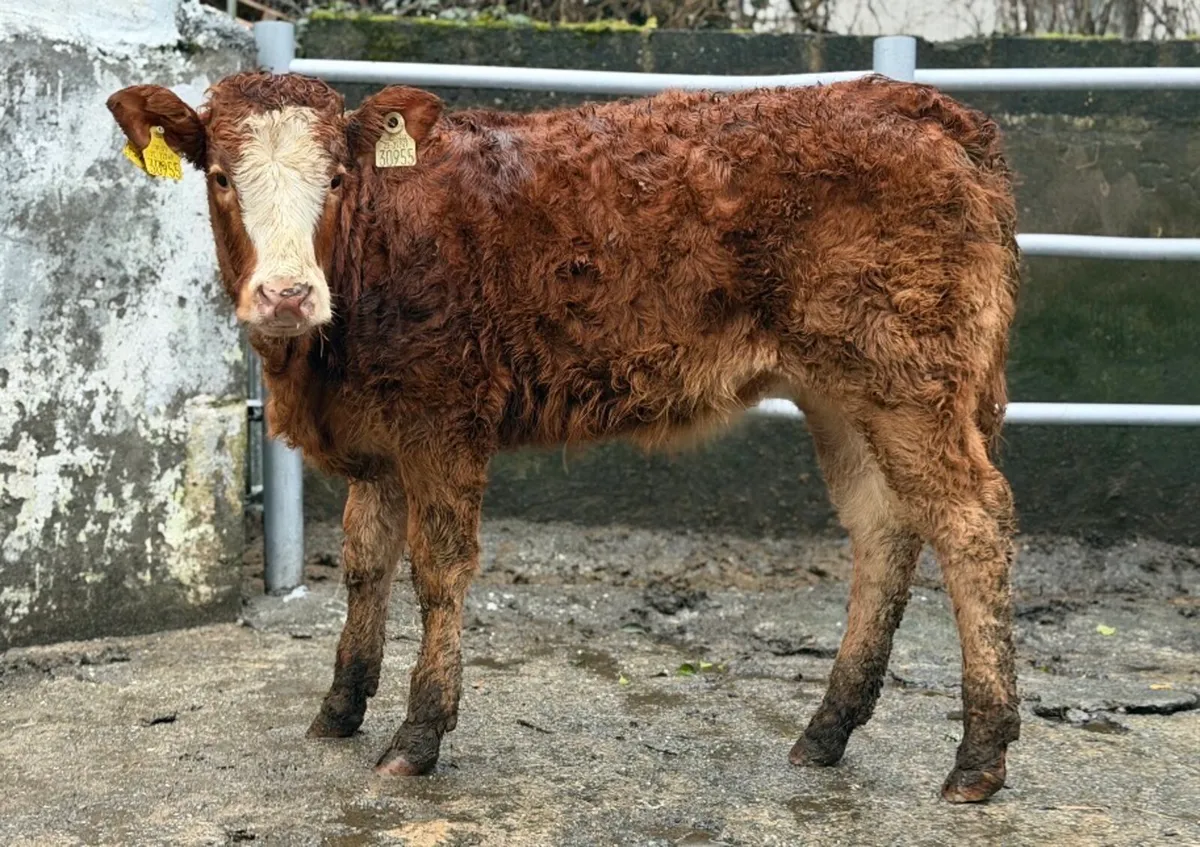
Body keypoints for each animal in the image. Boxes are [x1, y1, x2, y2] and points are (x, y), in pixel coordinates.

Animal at [107, 70, 1020, 803]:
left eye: (335, 178)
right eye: (220, 177)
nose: (288, 293)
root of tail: (920, 105)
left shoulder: (443, 419)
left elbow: (438, 568)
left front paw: (418, 734)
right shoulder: (378, 433)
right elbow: (366, 562)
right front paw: (340, 705)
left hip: (911, 378)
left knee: (972, 522)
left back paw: (979, 755)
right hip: (841, 390)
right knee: (884, 526)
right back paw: (827, 729)